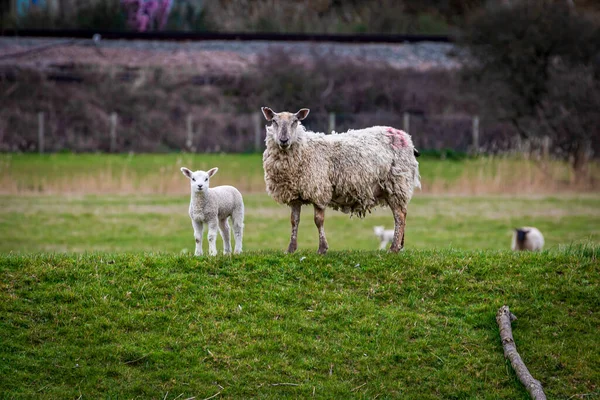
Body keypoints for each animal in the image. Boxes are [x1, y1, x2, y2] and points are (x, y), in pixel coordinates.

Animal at [260, 104, 420, 252]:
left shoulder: (319, 190)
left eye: (295, 121)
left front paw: (322, 248)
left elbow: (318, 220)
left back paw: (394, 248)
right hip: (392, 187)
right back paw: (400, 245)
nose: (284, 140)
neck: (304, 149)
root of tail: (405, 136)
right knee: (402, 213)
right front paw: (291, 249)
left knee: (399, 216)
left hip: (397, 183)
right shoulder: (294, 194)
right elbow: (294, 221)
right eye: (274, 121)